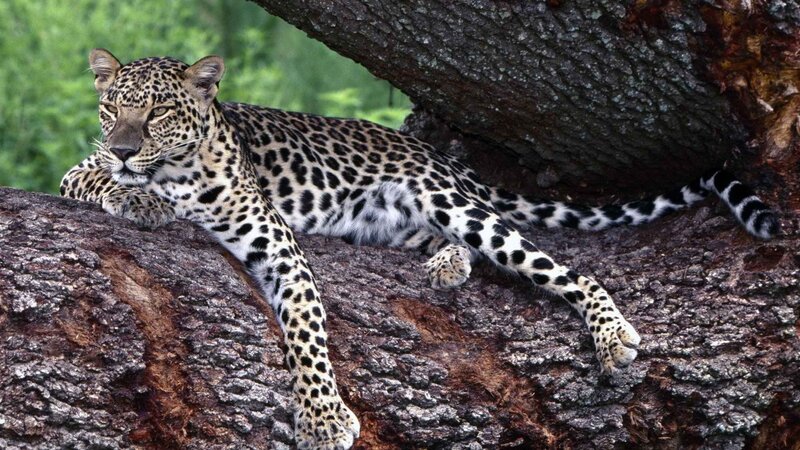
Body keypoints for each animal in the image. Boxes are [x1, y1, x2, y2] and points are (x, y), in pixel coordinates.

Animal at [61, 49, 779, 449]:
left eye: (157, 113)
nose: (124, 147)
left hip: (452, 202)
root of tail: (436, 154)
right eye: (111, 109)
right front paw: (138, 196)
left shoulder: (279, 248)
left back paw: (608, 332)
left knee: (560, 265)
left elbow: (308, 335)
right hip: (394, 219)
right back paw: (447, 261)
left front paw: (322, 418)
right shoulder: (78, 171)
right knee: (461, 245)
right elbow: (93, 179)